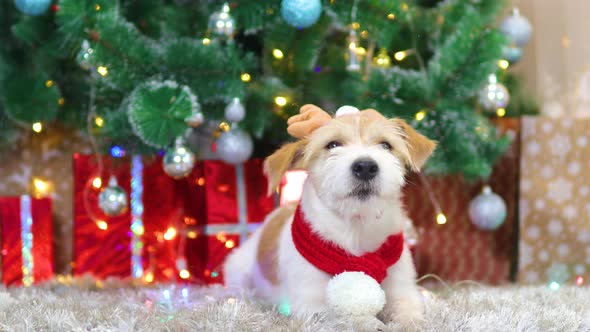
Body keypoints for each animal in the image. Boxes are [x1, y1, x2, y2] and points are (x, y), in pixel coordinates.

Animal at [224, 104, 438, 326]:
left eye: (386, 145)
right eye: (333, 144)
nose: (365, 166)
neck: (356, 229)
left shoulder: (403, 291)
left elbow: (409, 314)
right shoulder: (311, 306)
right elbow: (342, 317)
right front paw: (367, 322)